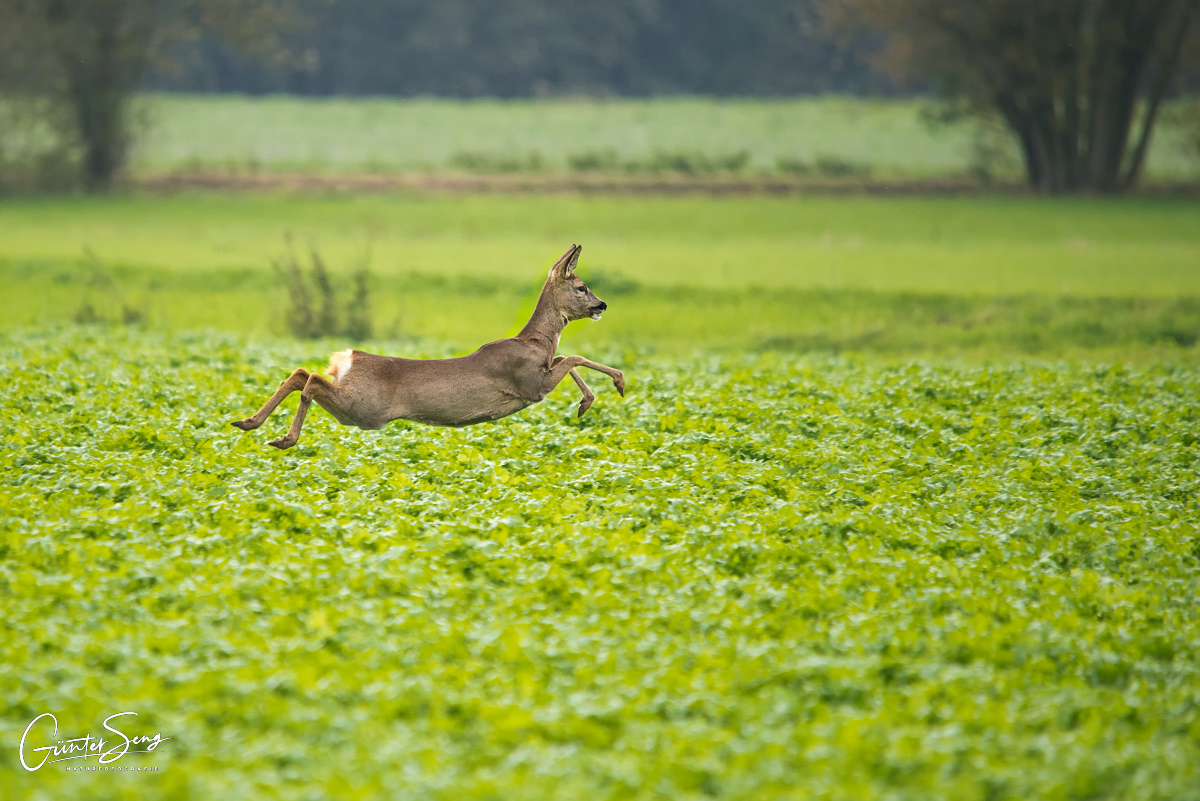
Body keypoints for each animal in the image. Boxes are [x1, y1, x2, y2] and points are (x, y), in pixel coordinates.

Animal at [231, 244, 628, 450]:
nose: (603, 305)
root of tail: (345, 358)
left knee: (302, 373)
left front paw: (586, 403)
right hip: (364, 409)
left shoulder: (541, 373)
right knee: (310, 379)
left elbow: (566, 356)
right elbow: (573, 355)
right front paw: (616, 384)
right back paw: (284, 438)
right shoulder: (531, 385)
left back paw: (248, 422)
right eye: (581, 287)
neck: (533, 343)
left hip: (355, 407)